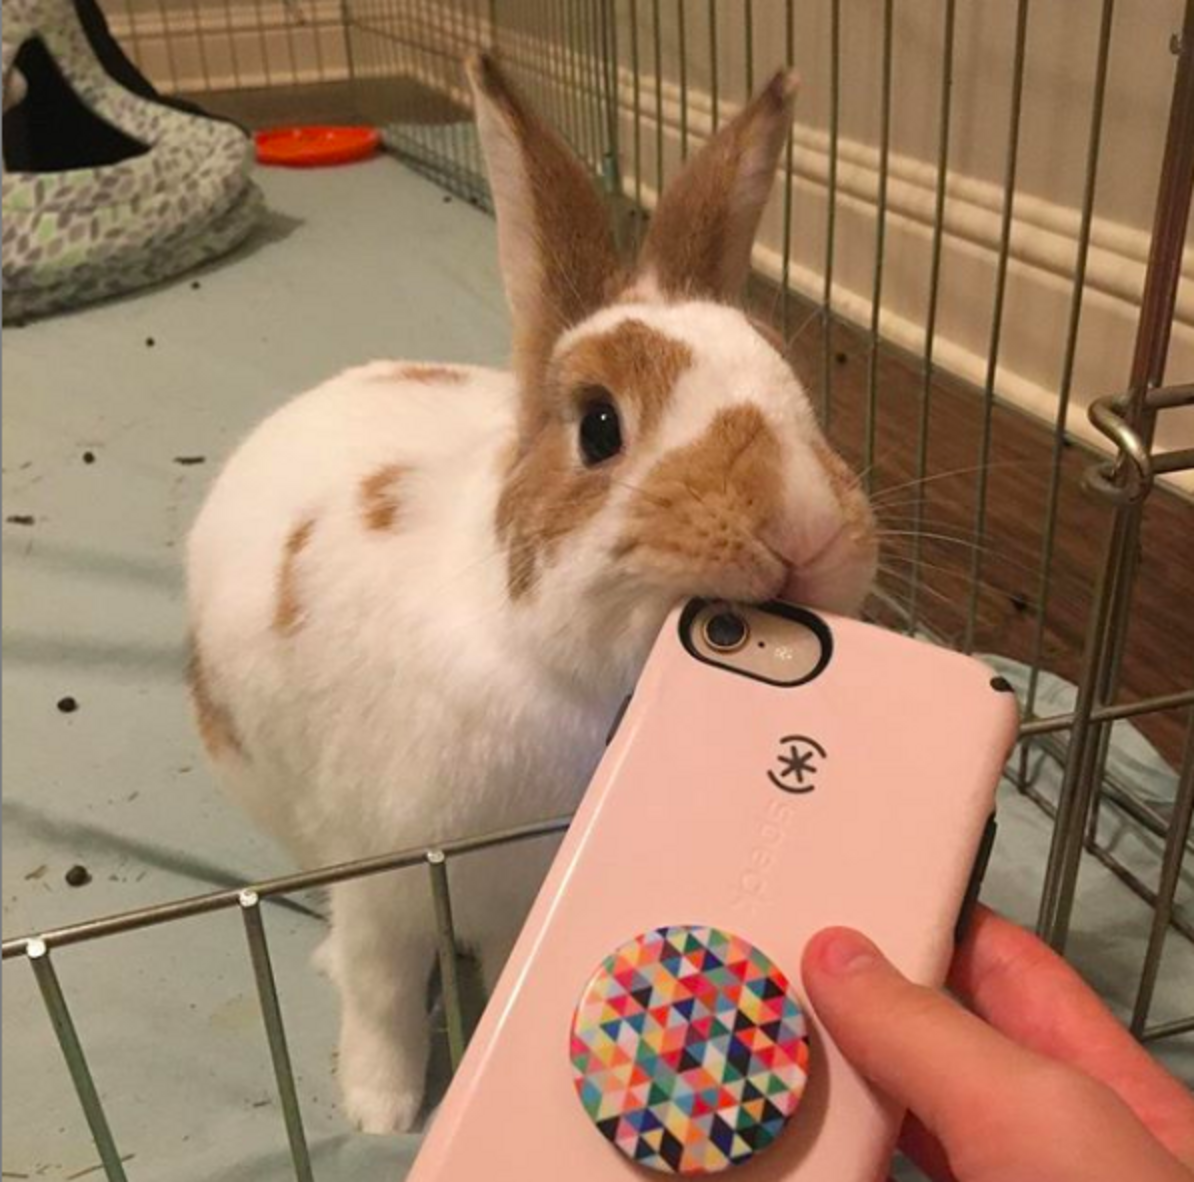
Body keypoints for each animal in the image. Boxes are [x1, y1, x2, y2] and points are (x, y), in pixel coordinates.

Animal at [185, 53, 878, 1135]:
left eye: (800, 395)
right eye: (598, 426)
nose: (804, 531)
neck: (565, 676)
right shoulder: (385, 873)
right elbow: (383, 989)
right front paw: (380, 1110)